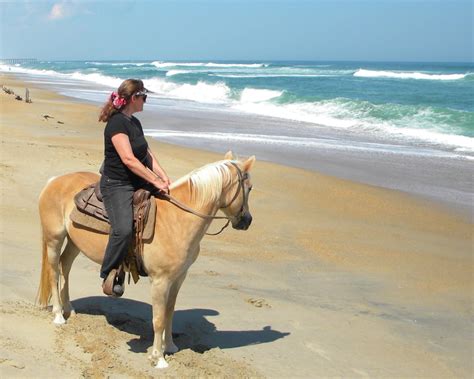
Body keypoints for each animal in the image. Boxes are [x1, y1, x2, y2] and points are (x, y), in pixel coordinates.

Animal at [37, 151, 256, 368]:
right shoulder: (160, 281)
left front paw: (170, 347)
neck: (177, 220)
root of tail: (54, 181)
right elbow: (158, 319)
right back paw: (58, 315)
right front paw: (158, 357)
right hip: (54, 239)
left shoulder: (178, 278)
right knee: (54, 272)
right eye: (250, 187)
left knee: (65, 266)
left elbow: (169, 312)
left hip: (75, 242)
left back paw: (69, 309)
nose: (247, 221)